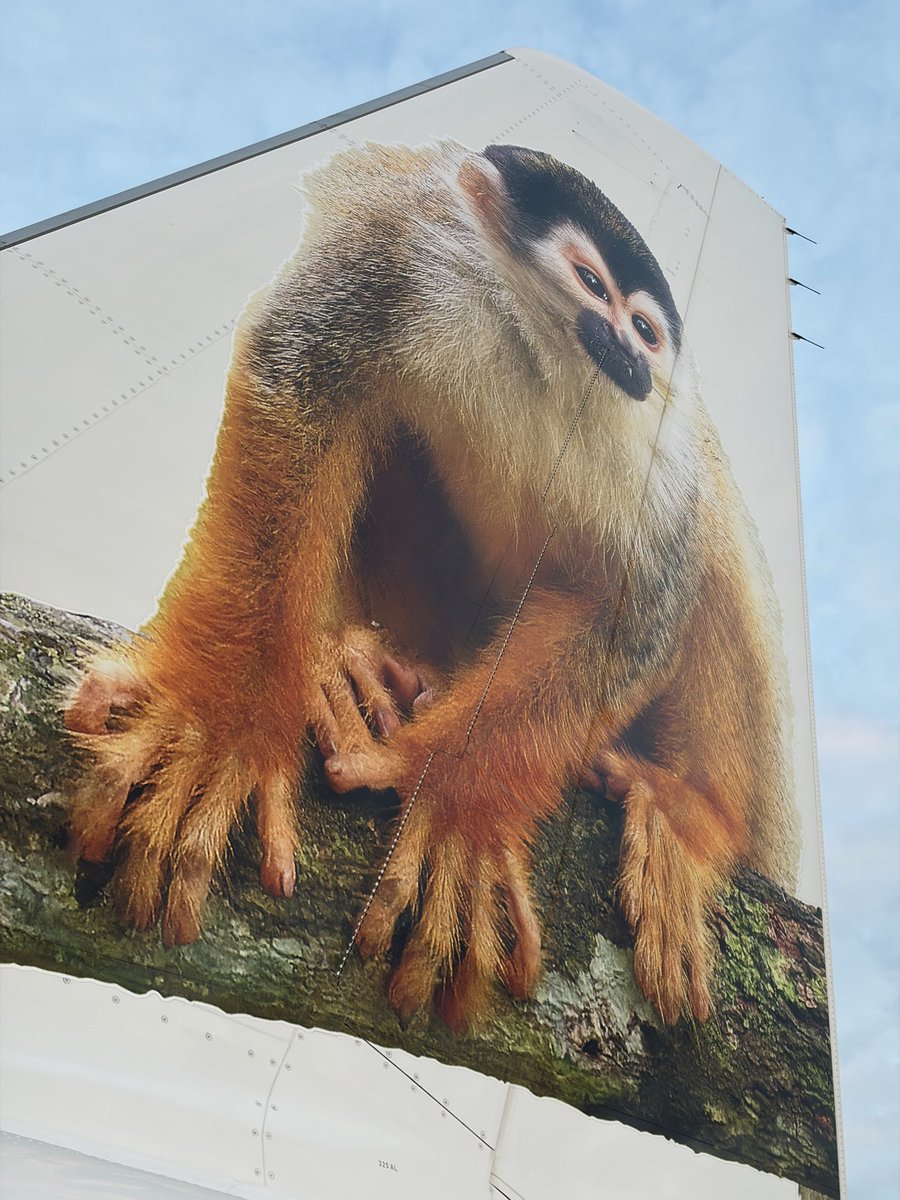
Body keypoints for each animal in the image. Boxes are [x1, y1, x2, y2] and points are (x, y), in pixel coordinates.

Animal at [64, 140, 801, 1032]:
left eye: (647, 330)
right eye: (593, 285)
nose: (630, 355)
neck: (538, 359)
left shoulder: (659, 447)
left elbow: (637, 613)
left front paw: (455, 806)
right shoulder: (403, 249)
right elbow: (300, 380)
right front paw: (224, 717)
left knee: (717, 535)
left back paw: (696, 816)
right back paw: (358, 660)